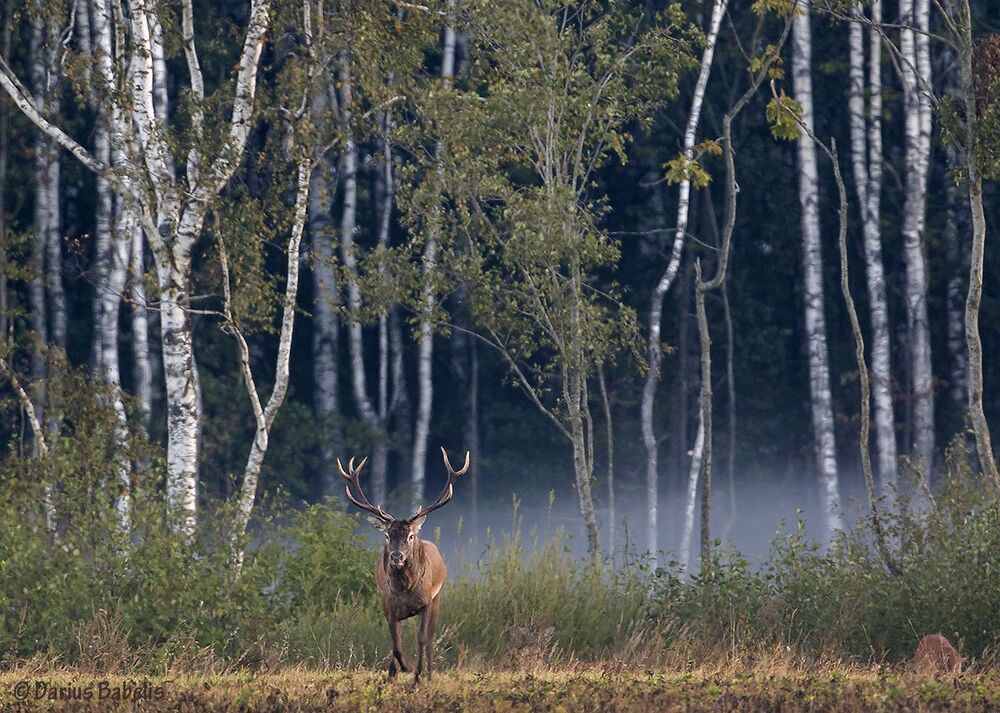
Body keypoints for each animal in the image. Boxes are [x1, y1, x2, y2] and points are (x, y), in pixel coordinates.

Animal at [338, 447, 470, 684]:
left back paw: (428, 673)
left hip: (437, 598)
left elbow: (422, 638)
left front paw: (417, 674)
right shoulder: (388, 607)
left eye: (410, 536)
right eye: (387, 535)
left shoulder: (426, 602)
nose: (396, 557)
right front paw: (401, 669)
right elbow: (396, 644)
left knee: (429, 637)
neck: (405, 588)